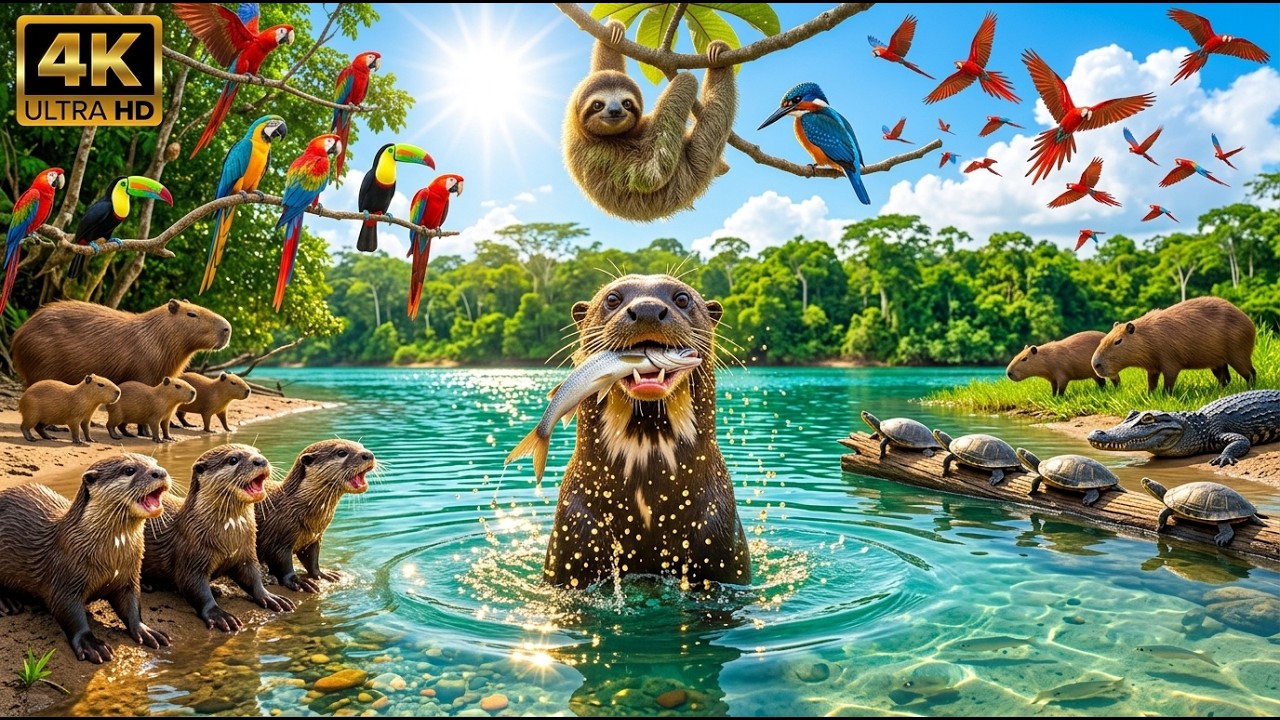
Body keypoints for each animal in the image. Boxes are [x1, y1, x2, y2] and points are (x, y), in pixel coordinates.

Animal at [0, 454, 172, 663]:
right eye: (129, 470)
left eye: (155, 463)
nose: (161, 472)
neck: (111, 560)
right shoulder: (64, 576)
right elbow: (70, 612)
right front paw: (91, 644)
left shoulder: (129, 577)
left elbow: (131, 605)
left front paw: (144, 630)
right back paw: (7, 603)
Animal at [143, 444, 295, 632]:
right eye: (233, 460)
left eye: (257, 452)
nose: (261, 460)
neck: (228, 541)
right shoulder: (191, 552)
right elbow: (194, 585)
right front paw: (219, 614)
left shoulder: (246, 552)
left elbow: (253, 577)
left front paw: (269, 596)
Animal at [255, 439, 375, 592]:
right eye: (341, 452)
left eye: (362, 446)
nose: (368, 454)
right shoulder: (278, 536)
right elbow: (282, 563)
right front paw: (298, 581)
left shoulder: (314, 538)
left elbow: (312, 559)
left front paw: (323, 574)